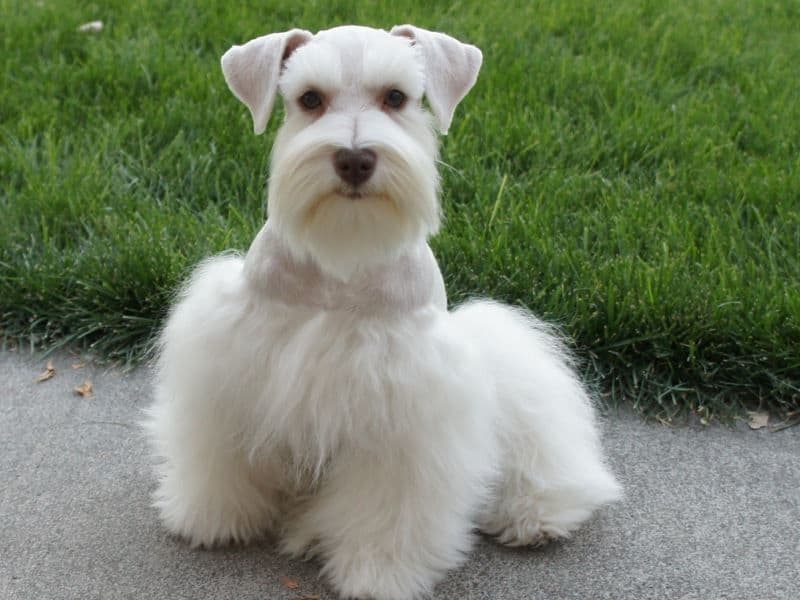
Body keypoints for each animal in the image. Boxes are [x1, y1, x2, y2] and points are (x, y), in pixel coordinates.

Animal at [144, 24, 620, 600]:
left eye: (396, 97)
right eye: (309, 99)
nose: (354, 160)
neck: (342, 265)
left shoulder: (403, 414)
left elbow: (388, 508)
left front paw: (378, 572)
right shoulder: (232, 363)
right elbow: (221, 453)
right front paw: (214, 517)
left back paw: (535, 515)